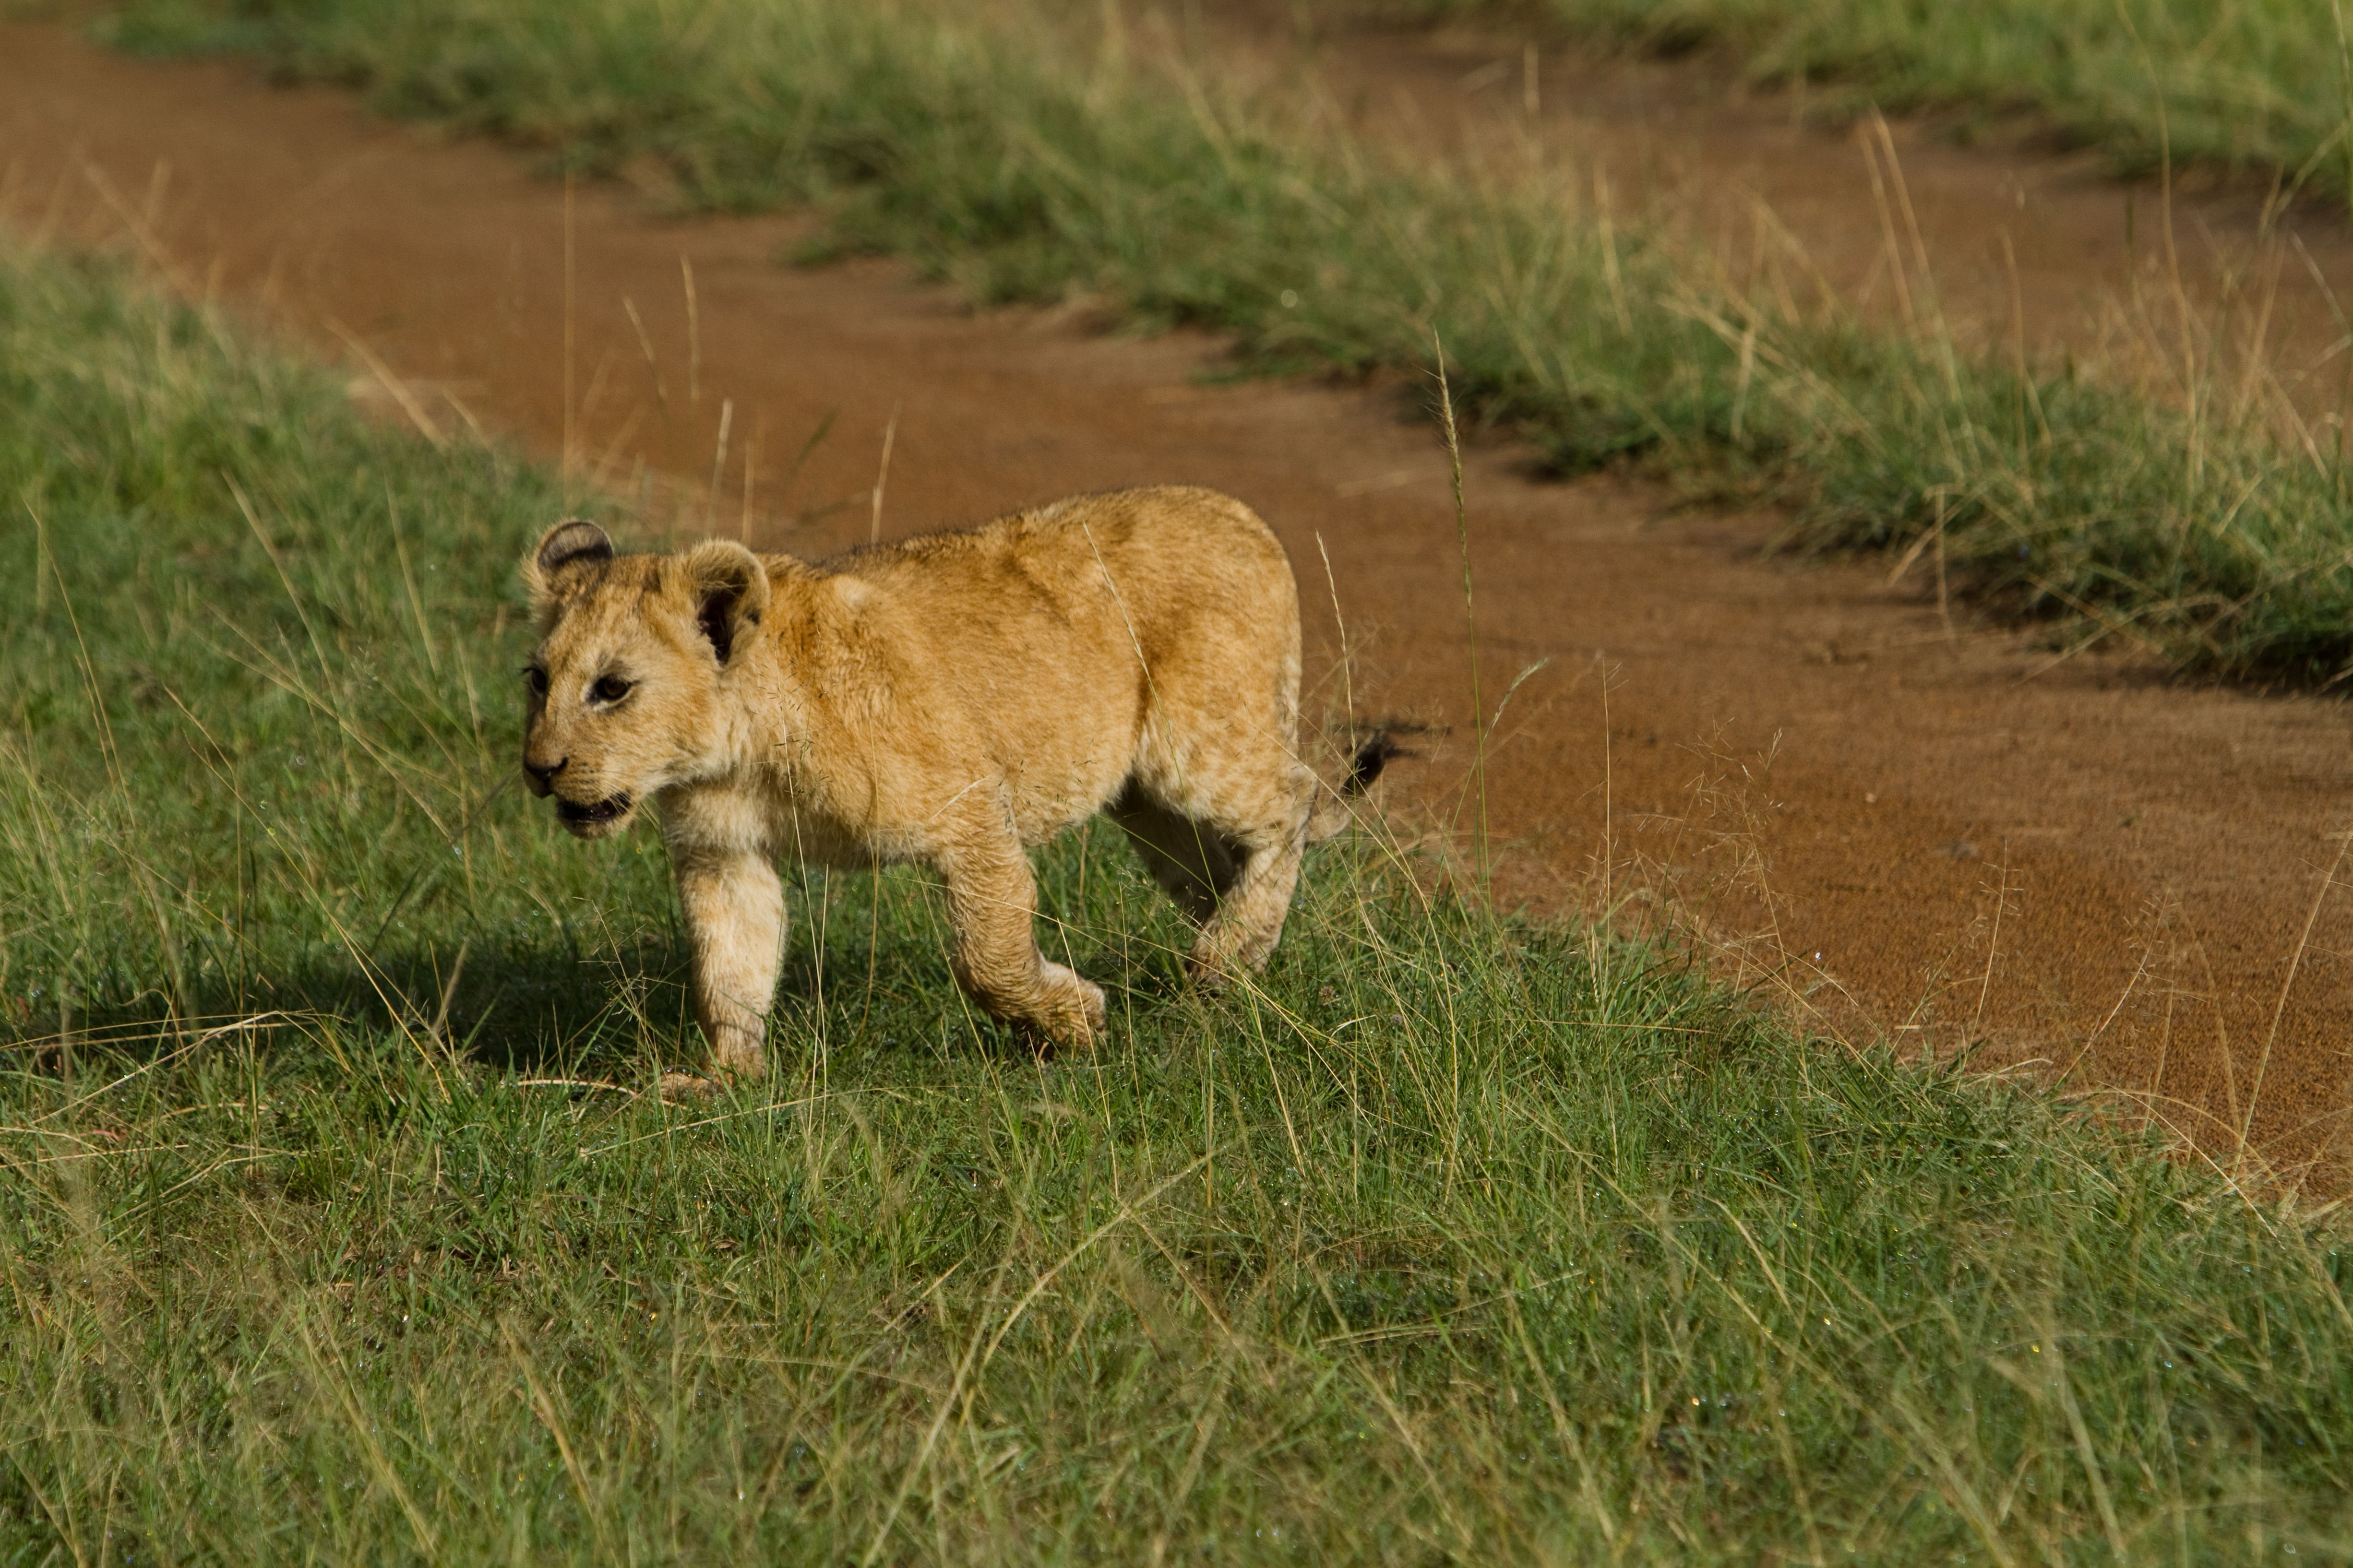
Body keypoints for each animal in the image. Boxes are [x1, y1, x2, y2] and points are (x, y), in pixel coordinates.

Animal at [520, 486, 1384, 1094]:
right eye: (537, 680)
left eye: (612, 688)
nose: (538, 768)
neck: (737, 752)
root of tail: (1243, 517)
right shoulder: (722, 852)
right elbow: (729, 967)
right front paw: (725, 1081)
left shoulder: (968, 808)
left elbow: (987, 959)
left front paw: (1071, 1024)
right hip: (1145, 803)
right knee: (1215, 864)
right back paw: (1226, 970)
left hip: (1195, 747)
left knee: (1297, 798)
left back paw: (1228, 954)